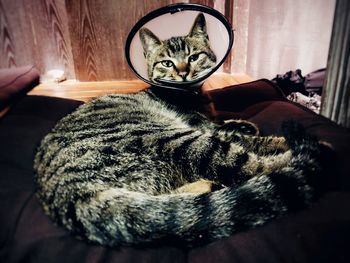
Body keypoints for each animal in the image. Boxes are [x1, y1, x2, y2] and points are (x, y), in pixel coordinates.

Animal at [34, 89, 330, 249]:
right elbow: (254, 140)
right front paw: (273, 138)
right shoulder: (203, 128)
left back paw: (206, 186)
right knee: (249, 167)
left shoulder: (209, 123)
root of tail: (70, 198)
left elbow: (233, 126)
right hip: (177, 139)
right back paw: (316, 148)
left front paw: (244, 124)